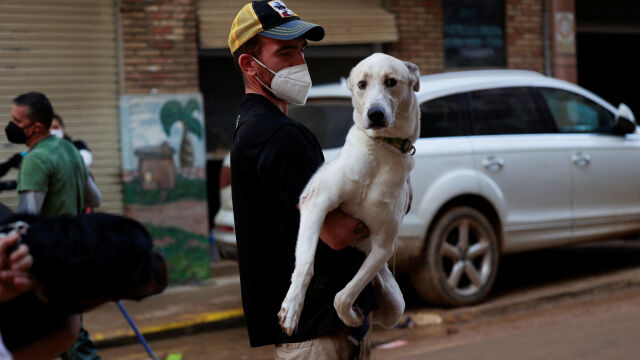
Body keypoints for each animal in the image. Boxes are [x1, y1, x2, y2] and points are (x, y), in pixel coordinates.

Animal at [278, 52, 420, 334]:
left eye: (391, 81)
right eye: (362, 84)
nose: (375, 114)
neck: (381, 151)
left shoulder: (384, 245)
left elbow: (343, 296)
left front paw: (351, 316)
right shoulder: (315, 201)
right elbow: (306, 264)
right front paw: (292, 308)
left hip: (396, 305)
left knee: (378, 304)